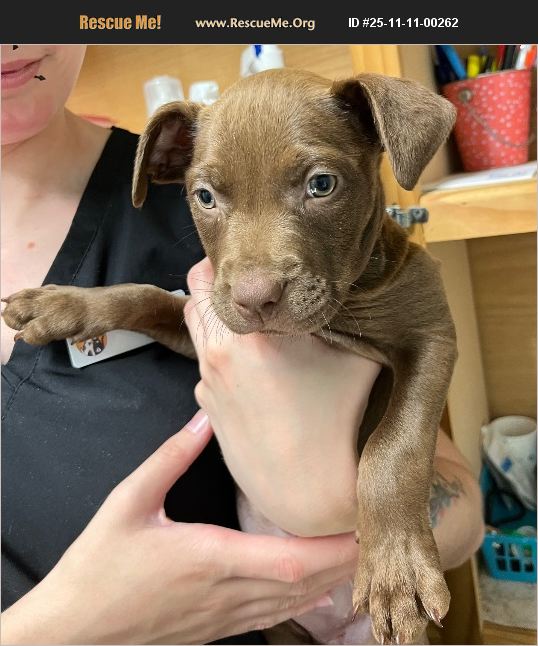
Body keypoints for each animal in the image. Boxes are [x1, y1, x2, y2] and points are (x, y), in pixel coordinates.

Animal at [2, 69, 457, 644]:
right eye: (204, 196)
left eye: (322, 185)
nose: (254, 299)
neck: (338, 313)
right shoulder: (201, 320)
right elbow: (145, 294)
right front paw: (63, 304)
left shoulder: (432, 336)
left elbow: (393, 446)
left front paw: (397, 568)